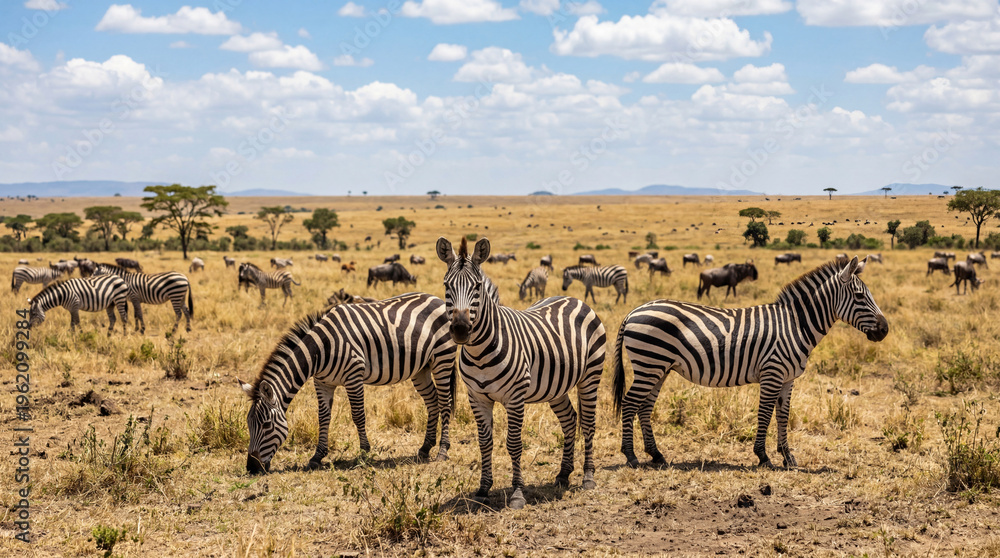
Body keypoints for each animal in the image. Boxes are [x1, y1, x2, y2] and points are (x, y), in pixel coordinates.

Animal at [238, 292, 457, 474]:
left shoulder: (353, 376)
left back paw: (443, 450)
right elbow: (323, 417)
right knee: (432, 402)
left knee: (445, 403)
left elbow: (358, 415)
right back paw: (425, 448)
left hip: (442, 358)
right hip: (421, 369)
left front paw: (364, 453)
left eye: (266, 425)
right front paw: (317, 457)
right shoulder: (322, 382)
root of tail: (436, 298)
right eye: (248, 424)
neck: (321, 349)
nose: (252, 468)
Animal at [436, 236, 607, 509]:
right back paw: (563, 474)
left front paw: (517, 493)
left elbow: (514, 444)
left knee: (589, 423)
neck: (480, 352)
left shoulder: (515, 398)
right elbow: (485, 443)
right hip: (556, 387)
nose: (461, 330)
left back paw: (588, 477)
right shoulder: (477, 398)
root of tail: (573, 298)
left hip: (591, 376)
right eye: (446, 286)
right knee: (570, 420)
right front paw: (483, 490)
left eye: (477, 287)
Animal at [612, 256, 889, 469]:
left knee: (644, 407)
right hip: (649, 363)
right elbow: (765, 414)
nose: (885, 330)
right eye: (859, 296)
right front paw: (763, 456)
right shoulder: (772, 372)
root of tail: (634, 311)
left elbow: (783, 415)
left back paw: (656, 455)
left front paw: (788, 458)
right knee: (630, 403)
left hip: (659, 367)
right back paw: (631, 456)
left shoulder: (788, 378)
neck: (795, 325)